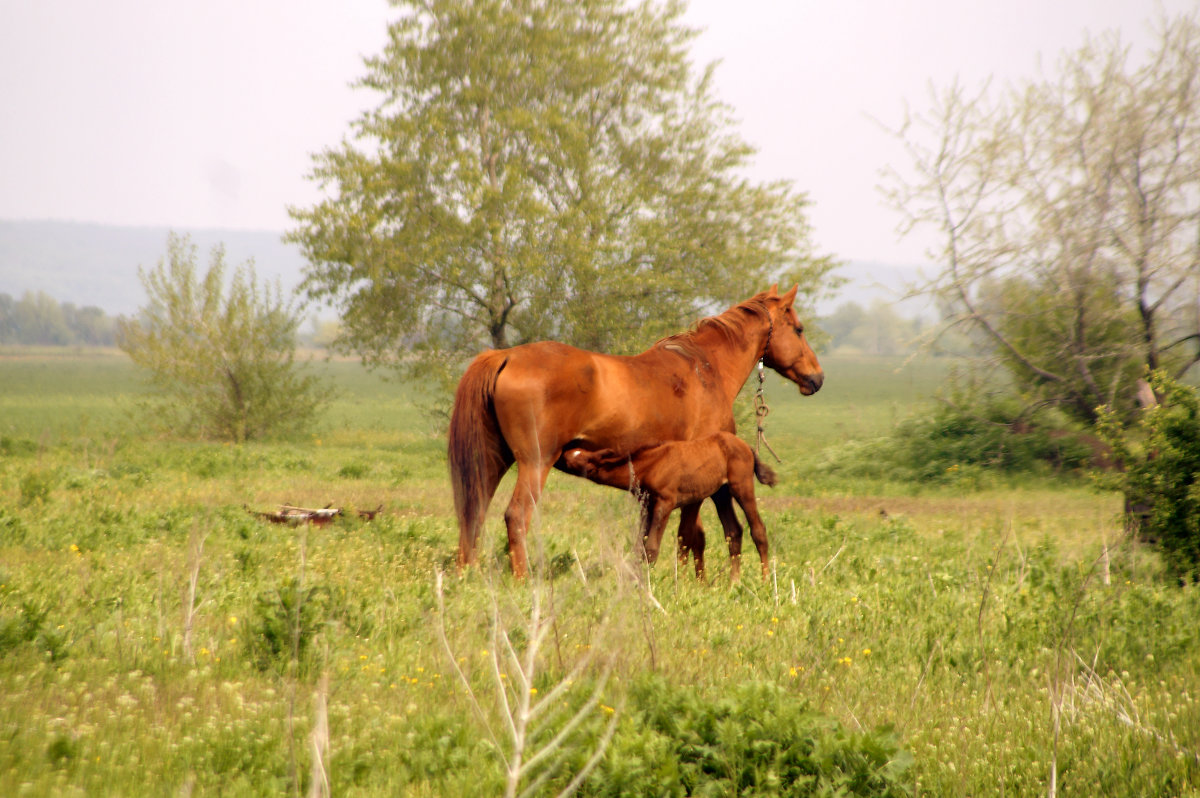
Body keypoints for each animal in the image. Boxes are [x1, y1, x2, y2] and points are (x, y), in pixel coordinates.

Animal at [561, 429, 777, 578]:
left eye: (577, 458)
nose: (564, 451)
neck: (650, 466)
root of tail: (747, 446)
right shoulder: (647, 506)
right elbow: (641, 546)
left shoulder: (665, 503)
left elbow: (652, 548)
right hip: (721, 494)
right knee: (733, 532)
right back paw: (734, 582)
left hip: (741, 486)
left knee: (758, 529)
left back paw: (765, 581)